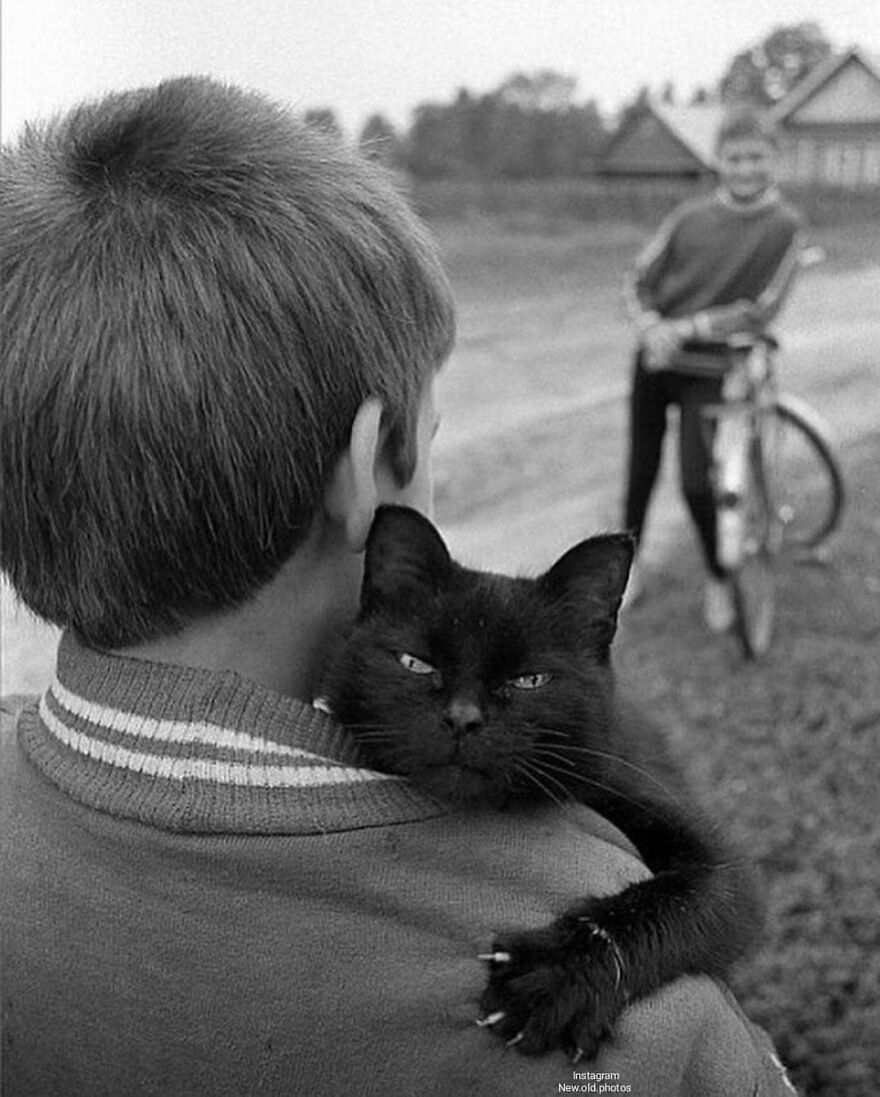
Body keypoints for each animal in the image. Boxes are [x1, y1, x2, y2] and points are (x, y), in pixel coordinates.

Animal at [324, 504, 759, 1061]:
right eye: (415, 663)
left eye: (529, 680)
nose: (462, 718)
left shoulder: (717, 861)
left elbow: (680, 898)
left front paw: (554, 979)